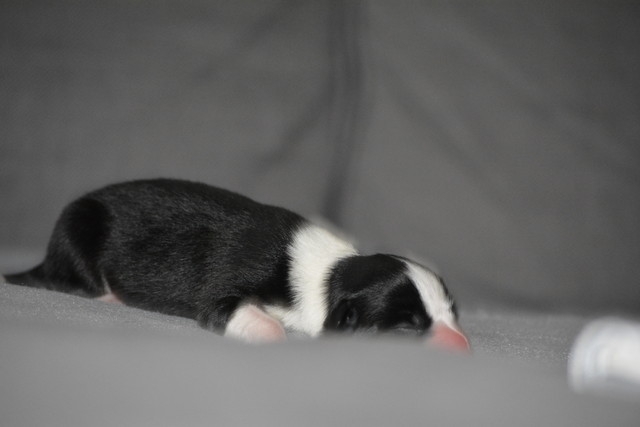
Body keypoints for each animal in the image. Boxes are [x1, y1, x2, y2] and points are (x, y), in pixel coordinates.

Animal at [4, 179, 469, 349]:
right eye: (406, 327)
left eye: (453, 314)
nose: (463, 346)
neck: (332, 272)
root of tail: (46, 257)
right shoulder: (227, 287)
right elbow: (240, 314)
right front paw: (273, 332)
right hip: (77, 230)